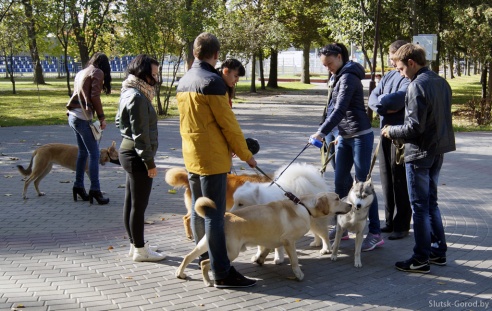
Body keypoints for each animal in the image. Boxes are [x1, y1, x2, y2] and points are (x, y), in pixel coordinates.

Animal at [175, 193, 352, 288]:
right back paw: (207, 281)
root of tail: (224, 217)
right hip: (231, 252)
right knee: (206, 263)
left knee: (189, 256)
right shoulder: (288, 241)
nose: (350, 205)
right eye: (337, 198)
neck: (305, 207)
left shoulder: (271, 241)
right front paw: (298, 274)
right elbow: (294, 260)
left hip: (205, 244)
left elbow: (266, 250)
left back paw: (180, 273)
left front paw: (260, 259)